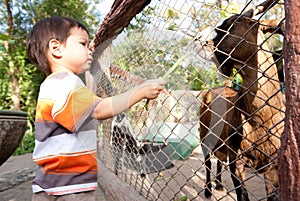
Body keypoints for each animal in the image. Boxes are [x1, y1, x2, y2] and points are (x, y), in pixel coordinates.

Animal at [196, 0, 284, 200]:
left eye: (233, 22)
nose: (200, 40)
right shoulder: (238, 161)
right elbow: (242, 194)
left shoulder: (273, 166)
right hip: (204, 135)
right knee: (208, 162)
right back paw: (208, 189)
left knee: (219, 160)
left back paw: (219, 184)